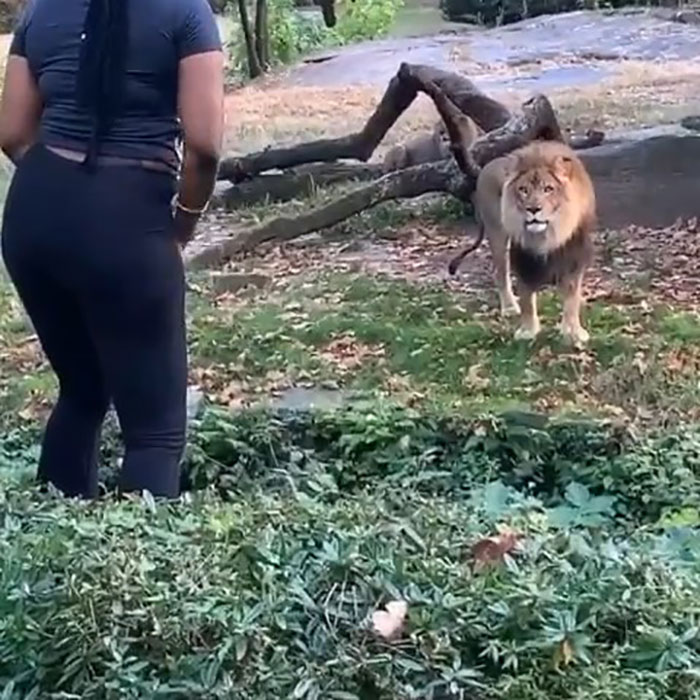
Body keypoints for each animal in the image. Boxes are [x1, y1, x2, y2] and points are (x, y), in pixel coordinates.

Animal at [448, 140, 596, 347]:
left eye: (548, 189)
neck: (548, 234)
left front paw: (573, 332)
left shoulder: (574, 256)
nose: (533, 209)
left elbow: (571, 298)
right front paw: (527, 331)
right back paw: (510, 307)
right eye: (523, 190)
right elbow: (527, 298)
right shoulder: (523, 258)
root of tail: (485, 166)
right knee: (500, 273)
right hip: (497, 234)